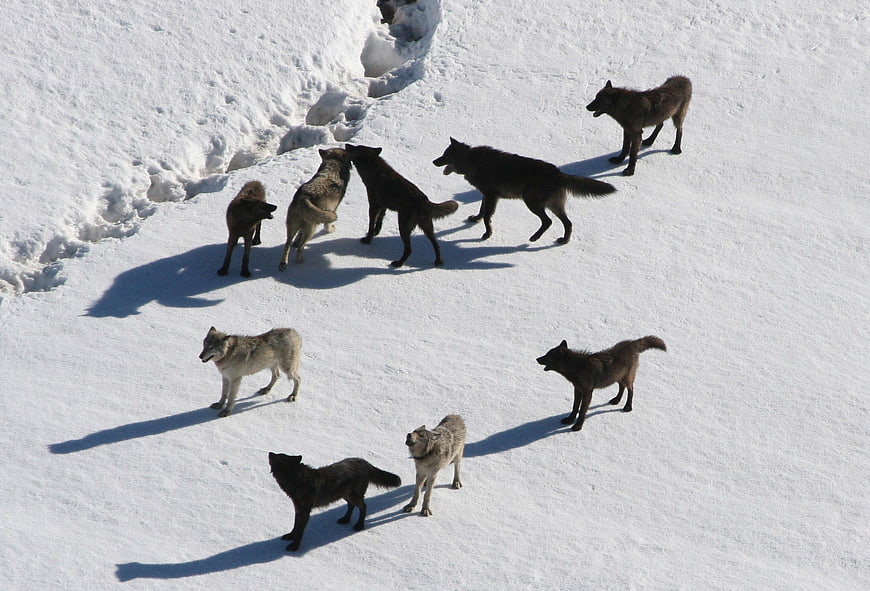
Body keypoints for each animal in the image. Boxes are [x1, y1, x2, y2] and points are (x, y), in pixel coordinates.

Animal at [268, 452, 401, 551]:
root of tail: (365, 462)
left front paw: (294, 546)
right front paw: (290, 536)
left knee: (363, 506)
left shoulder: (305, 511)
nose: (269, 452)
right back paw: (345, 519)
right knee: (351, 505)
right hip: (345, 495)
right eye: (279, 454)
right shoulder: (298, 509)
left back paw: (359, 526)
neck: (297, 480)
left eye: (277, 457)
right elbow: (295, 526)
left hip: (353, 495)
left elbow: (300, 530)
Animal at [432, 138, 615, 243]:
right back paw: (563, 240)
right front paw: (475, 219)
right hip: (553, 206)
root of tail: (557, 172)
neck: (471, 160)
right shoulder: (486, 195)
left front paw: (487, 234)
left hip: (531, 202)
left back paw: (534, 238)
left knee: (548, 221)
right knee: (568, 223)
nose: (434, 162)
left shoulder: (491, 196)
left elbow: (487, 217)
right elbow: (482, 211)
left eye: (445, 155)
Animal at [536, 336, 666, 431]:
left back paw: (627, 407)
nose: (537, 359)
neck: (577, 367)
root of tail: (633, 342)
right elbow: (574, 407)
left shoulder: (588, 392)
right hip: (617, 377)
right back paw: (616, 400)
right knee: (622, 387)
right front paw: (569, 420)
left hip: (626, 378)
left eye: (547, 356)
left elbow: (582, 410)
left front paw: (578, 426)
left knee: (631, 390)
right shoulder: (577, 389)